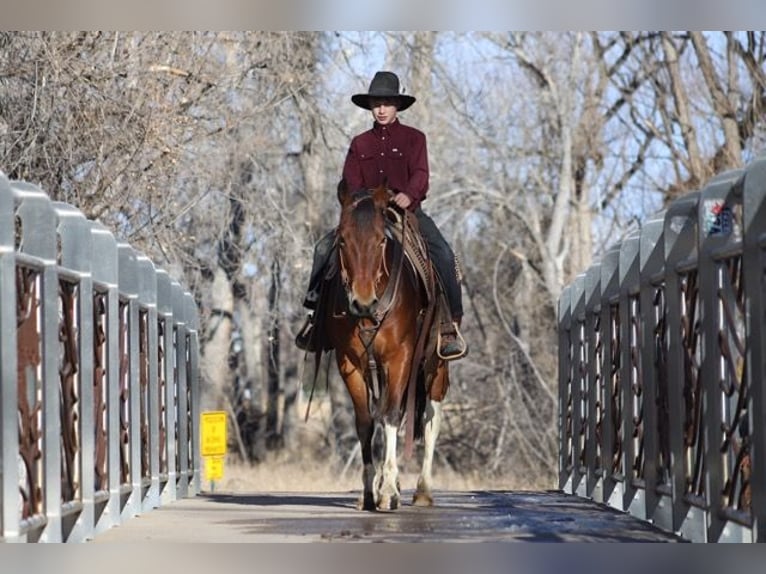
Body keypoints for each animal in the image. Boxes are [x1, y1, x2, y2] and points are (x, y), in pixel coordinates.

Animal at [312, 181, 452, 512]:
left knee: (431, 417)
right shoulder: (350, 363)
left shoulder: (400, 358)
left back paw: (423, 490)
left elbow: (390, 416)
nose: (362, 302)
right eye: (342, 241)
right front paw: (369, 491)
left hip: (436, 366)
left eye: (380, 242)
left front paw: (388, 491)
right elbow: (366, 422)